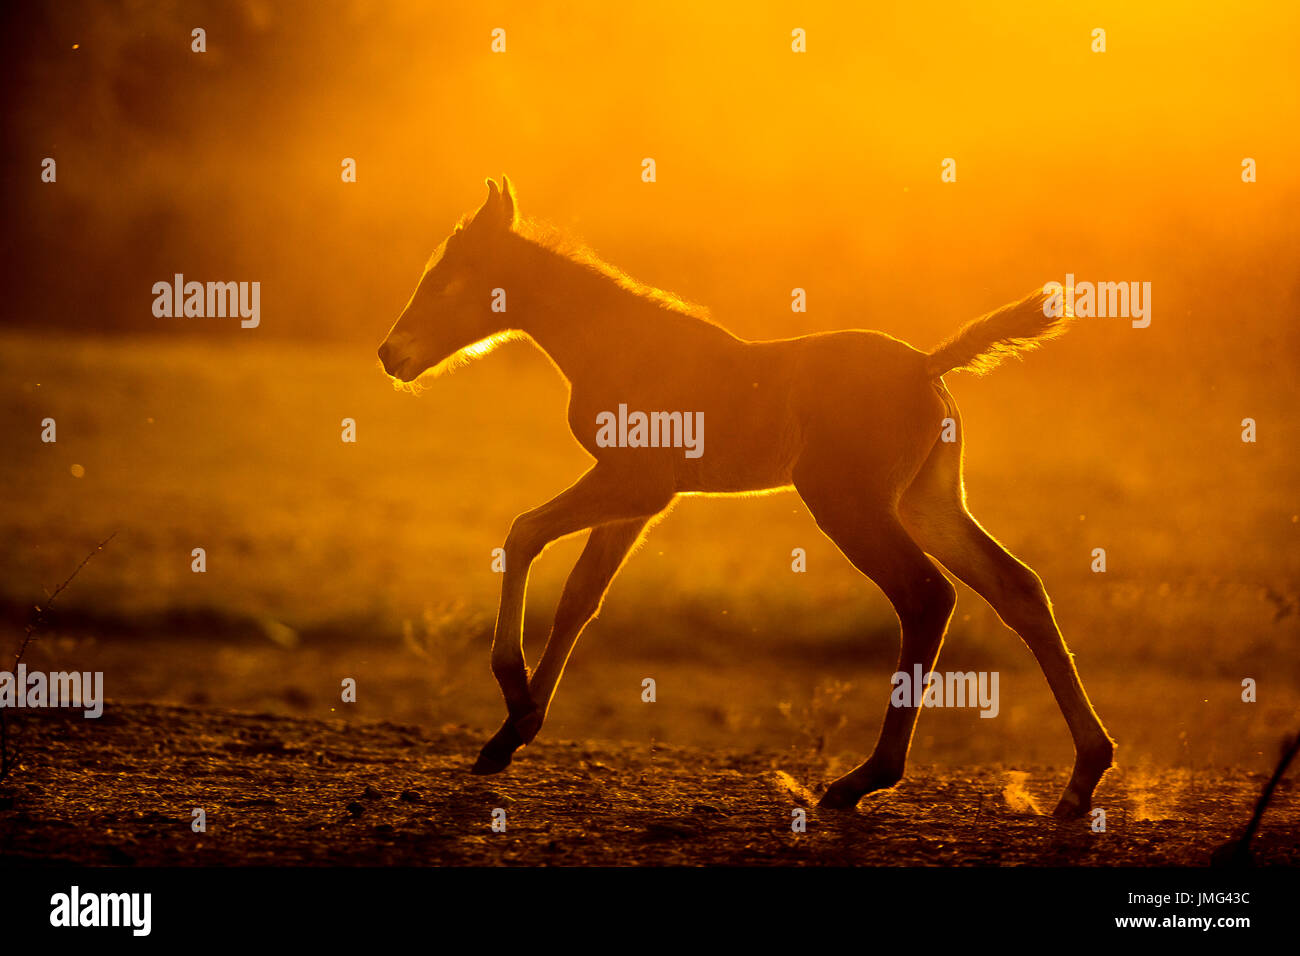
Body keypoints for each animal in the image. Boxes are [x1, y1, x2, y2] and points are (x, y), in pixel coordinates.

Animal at [378, 177, 1115, 817]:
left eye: (445, 279)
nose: (390, 354)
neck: (618, 344)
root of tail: (927, 366)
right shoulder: (639, 500)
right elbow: (580, 599)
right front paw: (513, 732)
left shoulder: (636, 482)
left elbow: (523, 532)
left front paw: (512, 689)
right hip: (927, 504)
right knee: (1017, 588)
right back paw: (1082, 780)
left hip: (849, 505)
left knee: (928, 597)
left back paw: (862, 781)